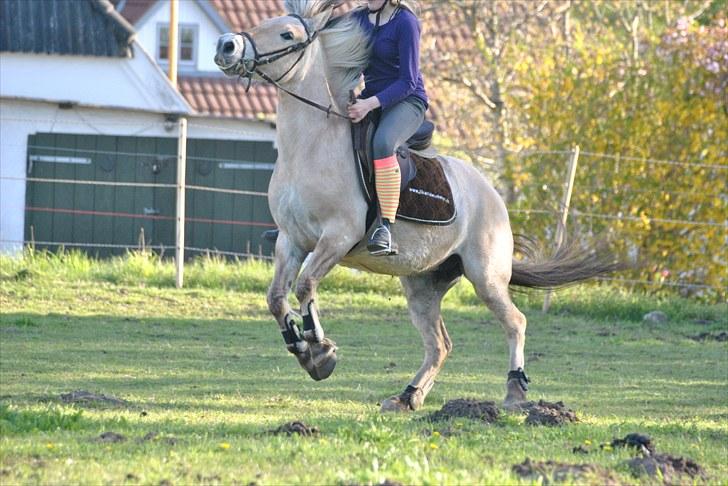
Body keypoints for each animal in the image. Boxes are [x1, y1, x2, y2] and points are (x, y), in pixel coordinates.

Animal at [213, 0, 616, 412]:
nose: (227, 46)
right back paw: (407, 396)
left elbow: (306, 285)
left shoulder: (337, 238)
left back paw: (515, 391)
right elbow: (276, 298)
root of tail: (490, 194)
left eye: (287, 34)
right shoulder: (291, 240)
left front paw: (320, 349)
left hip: (485, 277)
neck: (310, 146)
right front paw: (302, 348)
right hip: (423, 284)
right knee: (440, 344)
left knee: (515, 322)